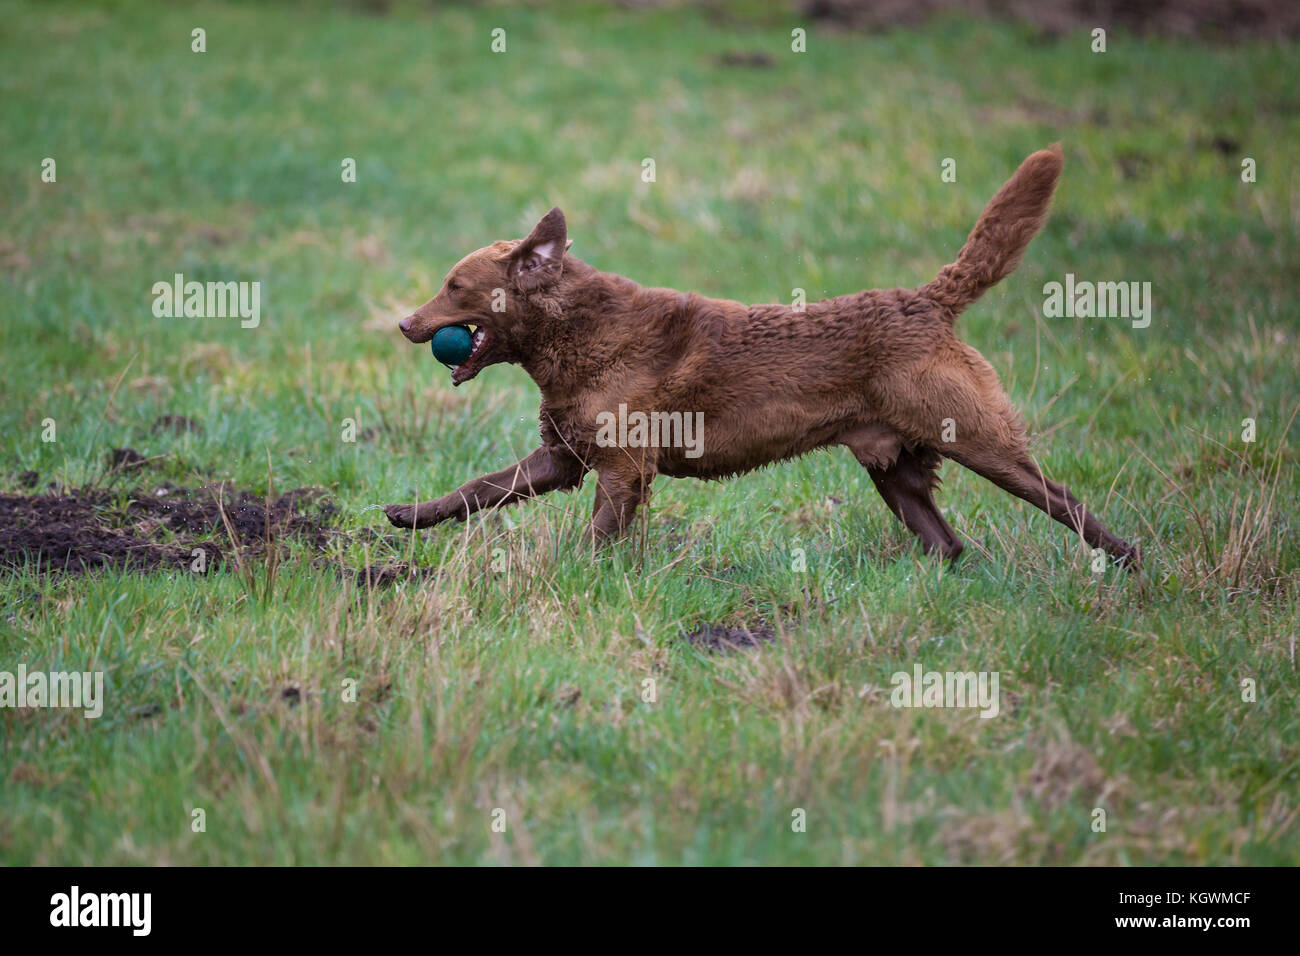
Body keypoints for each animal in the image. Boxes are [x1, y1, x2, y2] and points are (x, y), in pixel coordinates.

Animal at [384, 145, 1138, 567]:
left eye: (454, 286)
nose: (403, 322)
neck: (577, 335)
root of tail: (925, 299)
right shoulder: (562, 459)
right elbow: (480, 488)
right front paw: (410, 516)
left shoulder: (625, 468)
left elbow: (598, 534)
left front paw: (572, 575)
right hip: (894, 468)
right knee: (949, 544)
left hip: (977, 436)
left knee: (1067, 502)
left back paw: (1132, 564)